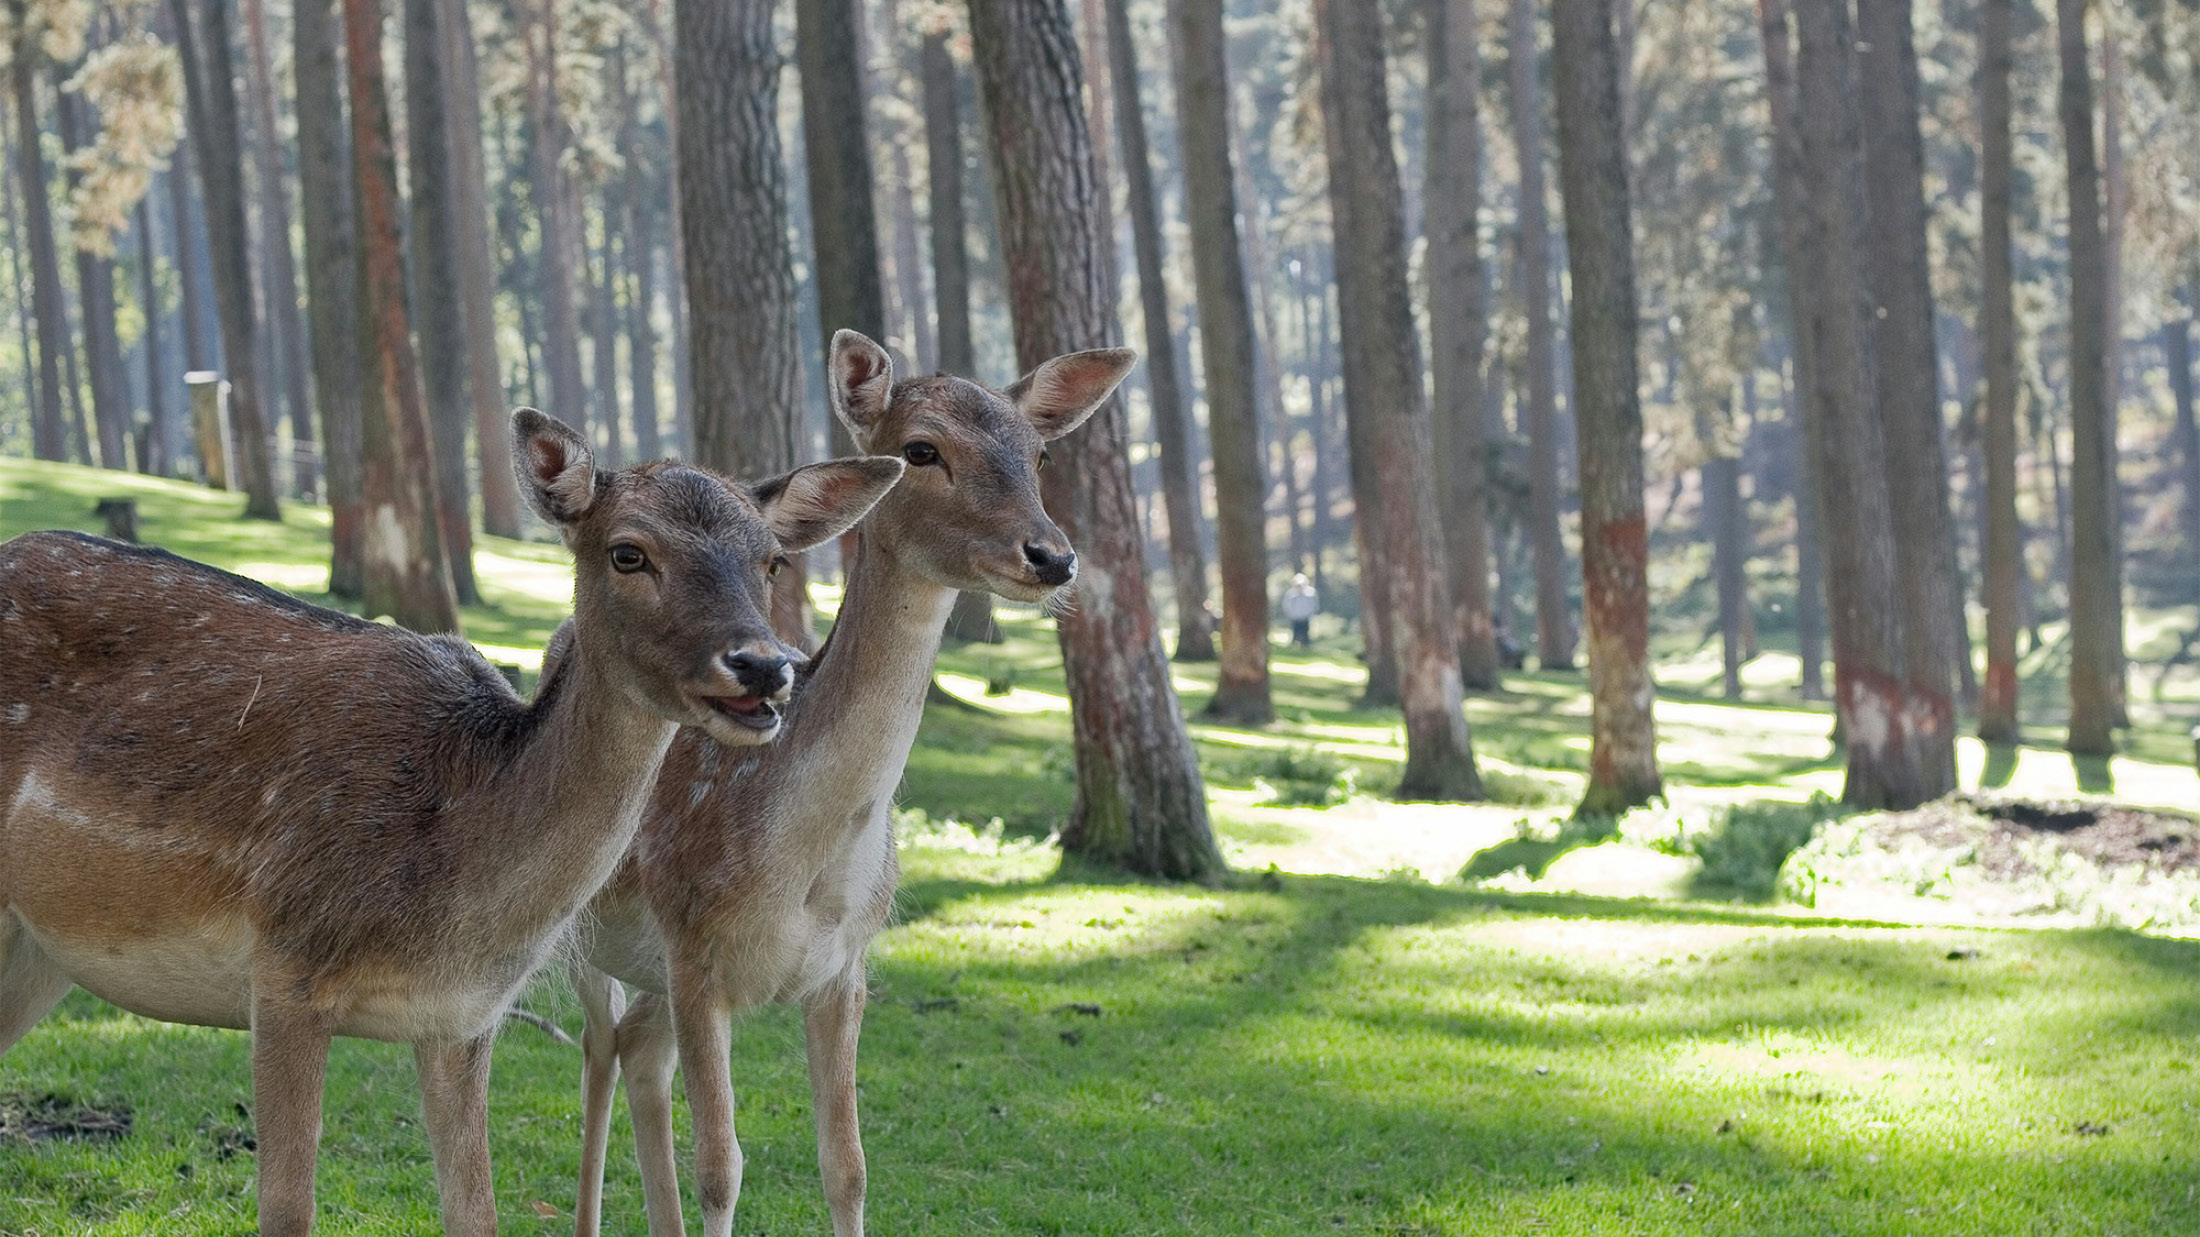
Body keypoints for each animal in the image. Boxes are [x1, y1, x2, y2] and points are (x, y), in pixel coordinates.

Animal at [0, 411, 902, 1232]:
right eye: (629, 551)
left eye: (772, 559)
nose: (763, 666)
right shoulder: (282, 966)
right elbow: (287, 1210)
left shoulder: (462, 1019)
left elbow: (476, 1212)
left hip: (38, 946)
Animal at [567, 330, 1135, 1232]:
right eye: (921, 450)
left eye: (1041, 453)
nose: (1052, 555)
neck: (806, 869)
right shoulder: (695, 951)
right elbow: (721, 1166)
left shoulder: (846, 965)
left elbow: (850, 1167)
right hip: (577, 925)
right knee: (596, 1047)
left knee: (636, 1053)